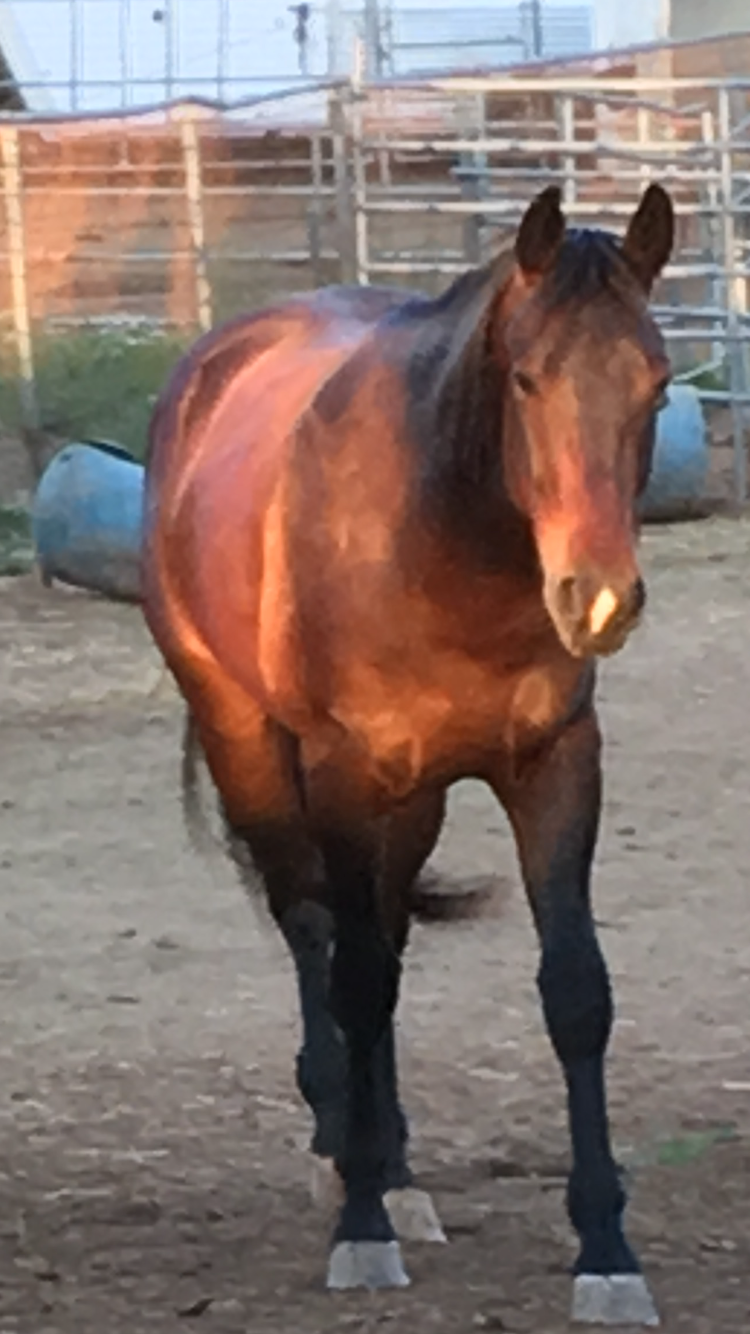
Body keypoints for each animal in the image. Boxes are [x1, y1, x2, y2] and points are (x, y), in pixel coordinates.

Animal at [141, 181, 674, 1325]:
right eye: (527, 377)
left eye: (655, 381)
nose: (598, 598)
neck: (444, 533)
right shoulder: (344, 774)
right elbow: (352, 979)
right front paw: (360, 1231)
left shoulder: (553, 765)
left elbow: (576, 992)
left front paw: (606, 1248)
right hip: (251, 743)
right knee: (316, 933)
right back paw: (344, 1155)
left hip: (413, 796)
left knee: (378, 936)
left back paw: (393, 1168)